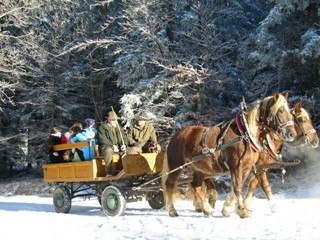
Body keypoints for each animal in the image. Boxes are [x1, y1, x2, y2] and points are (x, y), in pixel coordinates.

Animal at [162, 93, 298, 218]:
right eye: (280, 110)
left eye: (290, 111)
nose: (291, 134)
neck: (245, 135)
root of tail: (176, 135)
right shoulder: (237, 167)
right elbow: (238, 187)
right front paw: (241, 210)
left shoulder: (248, 167)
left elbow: (256, 186)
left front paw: (229, 209)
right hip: (177, 166)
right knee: (169, 184)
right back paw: (172, 210)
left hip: (199, 169)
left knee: (196, 186)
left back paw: (207, 210)